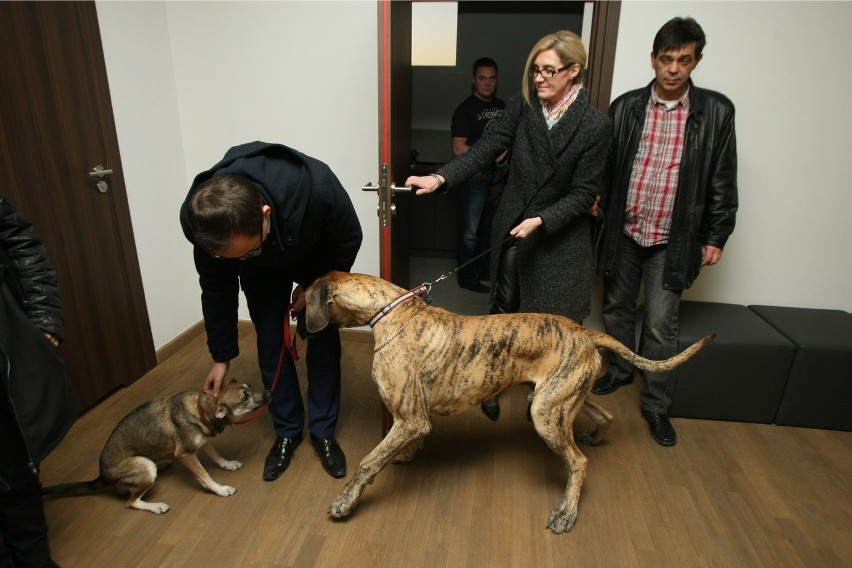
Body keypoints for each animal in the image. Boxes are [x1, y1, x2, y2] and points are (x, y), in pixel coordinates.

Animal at [42, 380, 270, 512]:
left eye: (249, 387)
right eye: (245, 397)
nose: (269, 392)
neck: (203, 408)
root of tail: (103, 476)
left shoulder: (201, 443)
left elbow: (216, 456)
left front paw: (228, 464)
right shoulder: (186, 454)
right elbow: (204, 476)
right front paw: (221, 489)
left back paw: (163, 463)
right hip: (144, 468)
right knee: (131, 502)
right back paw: (156, 506)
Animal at [306, 272, 712, 536]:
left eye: (301, 298)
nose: (295, 316)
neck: (390, 313)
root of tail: (584, 331)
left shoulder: (409, 419)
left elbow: (368, 463)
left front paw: (345, 502)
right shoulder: (412, 420)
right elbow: (399, 447)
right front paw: (406, 454)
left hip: (546, 414)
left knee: (578, 463)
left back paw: (566, 512)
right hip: (558, 399)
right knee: (604, 414)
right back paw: (595, 437)